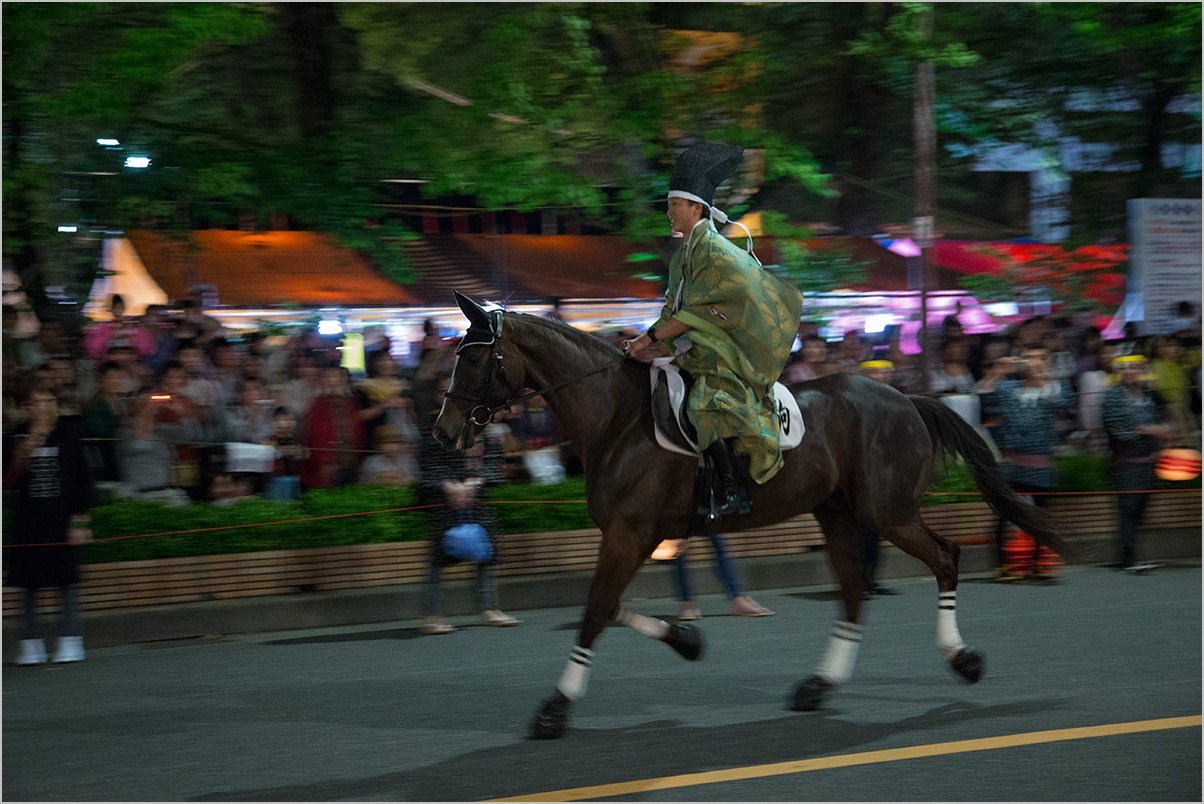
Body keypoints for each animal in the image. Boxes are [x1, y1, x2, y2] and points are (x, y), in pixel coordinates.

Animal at [435, 290, 1073, 741]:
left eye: (477, 358)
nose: (443, 433)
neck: (616, 417)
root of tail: (904, 398)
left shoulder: (629, 533)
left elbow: (596, 611)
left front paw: (554, 710)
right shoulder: (632, 536)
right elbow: (609, 606)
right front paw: (686, 639)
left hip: (888, 512)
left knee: (944, 558)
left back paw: (963, 659)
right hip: (839, 515)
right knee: (854, 591)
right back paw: (819, 685)